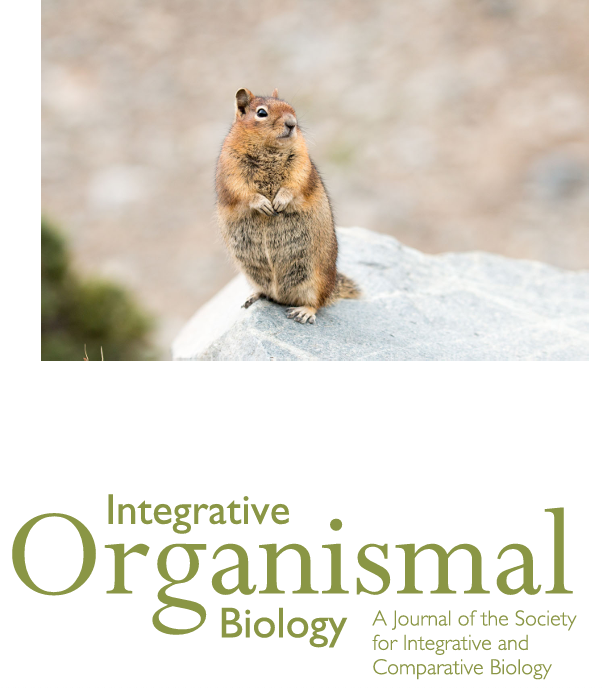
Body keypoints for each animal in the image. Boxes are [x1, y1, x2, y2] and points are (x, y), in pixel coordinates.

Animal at [215, 87, 360, 324]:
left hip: (316, 279)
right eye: (261, 113)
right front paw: (263, 204)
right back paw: (253, 296)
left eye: (292, 109)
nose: (292, 123)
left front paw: (280, 201)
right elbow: (242, 191)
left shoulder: (301, 162)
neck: (270, 149)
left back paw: (303, 311)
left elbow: (294, 183)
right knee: (269, 294)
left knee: (317, 303)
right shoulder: (230, 168)